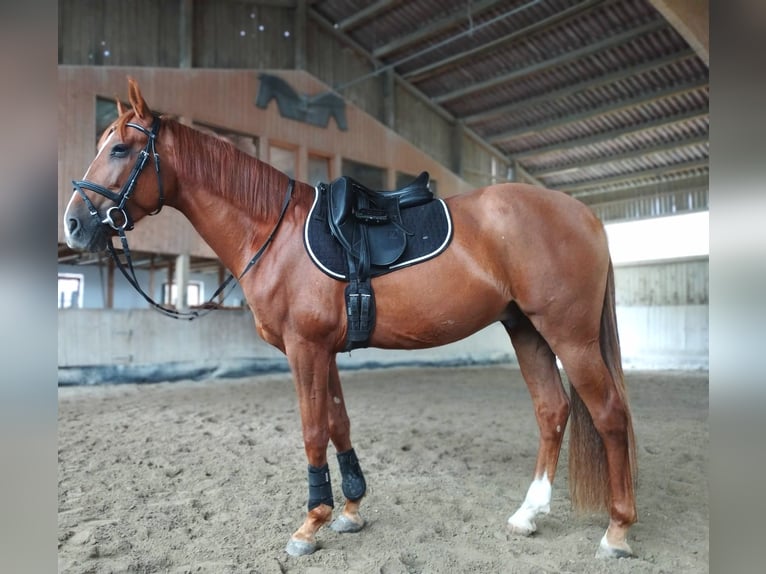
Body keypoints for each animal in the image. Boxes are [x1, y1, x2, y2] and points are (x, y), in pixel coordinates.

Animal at [63, 79, 640, 560]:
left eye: (119, 149)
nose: (73, 225)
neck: (273, 232)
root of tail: (585, 215)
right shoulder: (326, 350)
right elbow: (339, 423)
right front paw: (351, 509)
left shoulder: (305, 349)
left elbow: (313, 429)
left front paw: (310, 524)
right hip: (527, 330)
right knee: (552, 411)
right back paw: (528, 515)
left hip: (569, 335)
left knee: (610, 414)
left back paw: (617, 531)